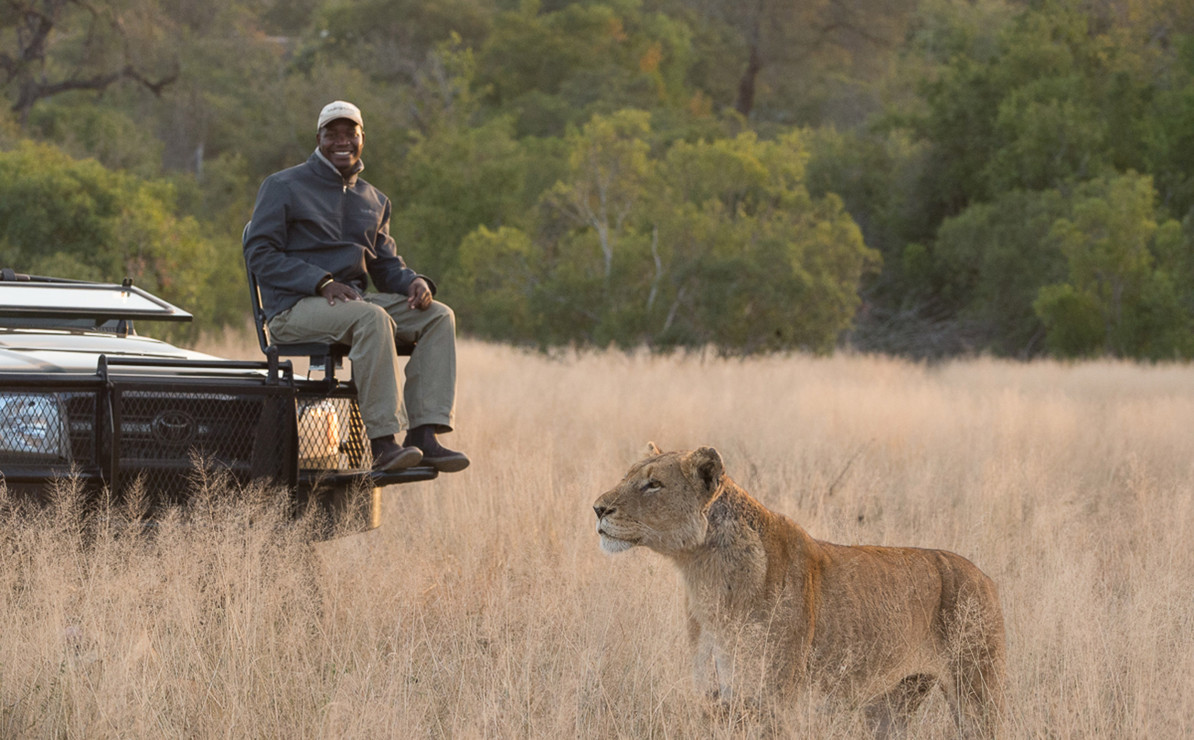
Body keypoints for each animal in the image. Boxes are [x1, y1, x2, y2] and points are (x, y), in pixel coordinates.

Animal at [592, 444, 1006, 738]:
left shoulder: (772, 701)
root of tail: (984, 576)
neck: (703, 576)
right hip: (892, 703)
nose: (597, 508)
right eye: (628, 476)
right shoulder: (713, 699)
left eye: (653, 484)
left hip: (976, 692)